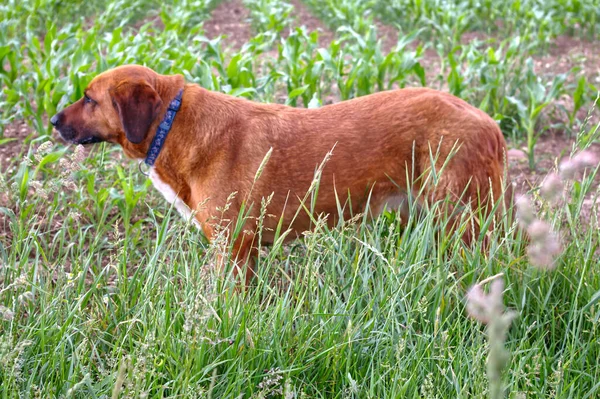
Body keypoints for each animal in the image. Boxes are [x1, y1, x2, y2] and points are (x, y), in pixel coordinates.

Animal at [52, 65, 510, 284]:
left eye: (89, 99)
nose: (54, 121)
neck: (174, 122)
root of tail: (491, 124)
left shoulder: (232, 247)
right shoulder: (246, 252)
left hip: (464, 222)